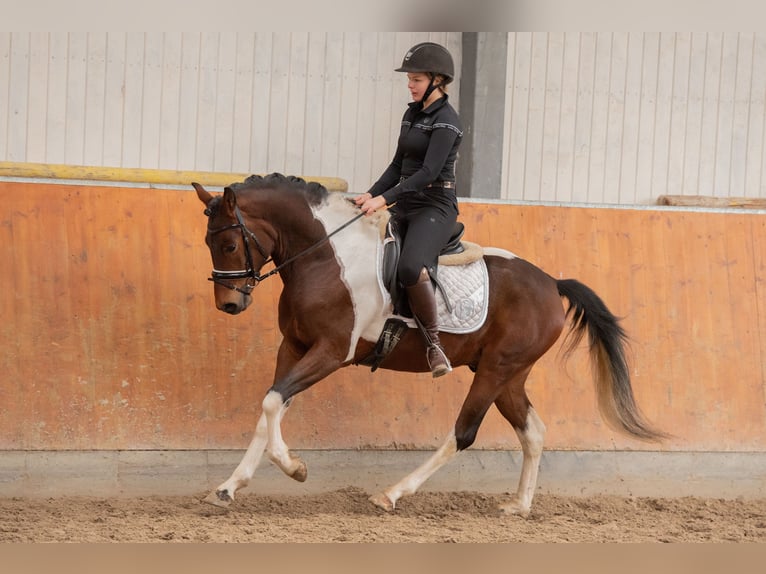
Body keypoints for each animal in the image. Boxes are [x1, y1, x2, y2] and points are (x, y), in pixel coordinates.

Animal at [192, 173, 664, 520]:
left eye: (229, 243)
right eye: (209, 243)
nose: (230, 304)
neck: (326, 257)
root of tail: (551, 283)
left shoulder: (331, 352)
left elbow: (273, 403)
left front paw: (295, 468)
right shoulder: (293, 347)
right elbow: (270, 407)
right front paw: (227, 489)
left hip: (496, 370)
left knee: (464, 433)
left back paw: (392, 494)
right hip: (509, 375)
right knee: (533, 431)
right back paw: (518, 505)